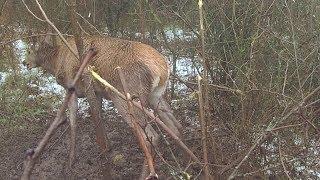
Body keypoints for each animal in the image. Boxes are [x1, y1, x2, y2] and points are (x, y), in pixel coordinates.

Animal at [23, 33, 182, 179]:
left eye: (29, 51)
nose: (25, 63)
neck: (56, 62)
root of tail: (161, 68)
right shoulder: (96, 91)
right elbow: (98, 115)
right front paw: (107, 147)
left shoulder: (71, 86)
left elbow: (73, 121)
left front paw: (71, 160)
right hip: (155, 95)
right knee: (174, 124)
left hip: (125, 96)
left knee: (152, 136)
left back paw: (146, 174)